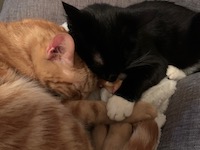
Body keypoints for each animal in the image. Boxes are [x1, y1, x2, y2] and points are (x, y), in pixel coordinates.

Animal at [0, 19, 156, 150]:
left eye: (82, 93)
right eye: (76, 91)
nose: (78, 97)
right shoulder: (65, 105)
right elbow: (96, 109)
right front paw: (143, 109)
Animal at [63, 0, 200, 120]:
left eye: (124, 57)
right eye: (98, 59)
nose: (112, 77)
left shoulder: (154, 57)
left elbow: (141, 75)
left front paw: (119, 103)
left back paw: (175, 71)